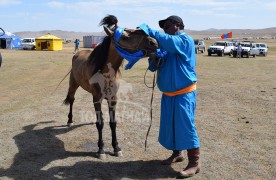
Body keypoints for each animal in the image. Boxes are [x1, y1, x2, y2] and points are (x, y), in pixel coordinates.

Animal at [62, 15, 157, 159]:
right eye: (124, 37)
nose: (154, 43)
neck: (105, 74)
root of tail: (77, 54)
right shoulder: (97, 98)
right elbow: (100, 123)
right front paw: (101, 149)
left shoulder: (113, 99)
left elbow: (113, 123)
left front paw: (116, 148)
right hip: (73, 84)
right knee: (72, 100)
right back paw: (70, 120)